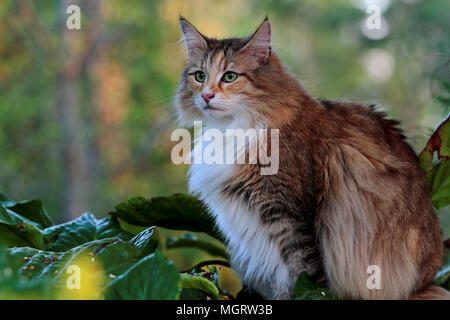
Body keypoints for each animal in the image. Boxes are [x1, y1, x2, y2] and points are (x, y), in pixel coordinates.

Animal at [174, 16, 448, 298]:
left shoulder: (290, 216)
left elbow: (307, 275)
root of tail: (426, 281)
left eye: (229, 76)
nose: (206, 95)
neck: (232, 128)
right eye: (200, 76)